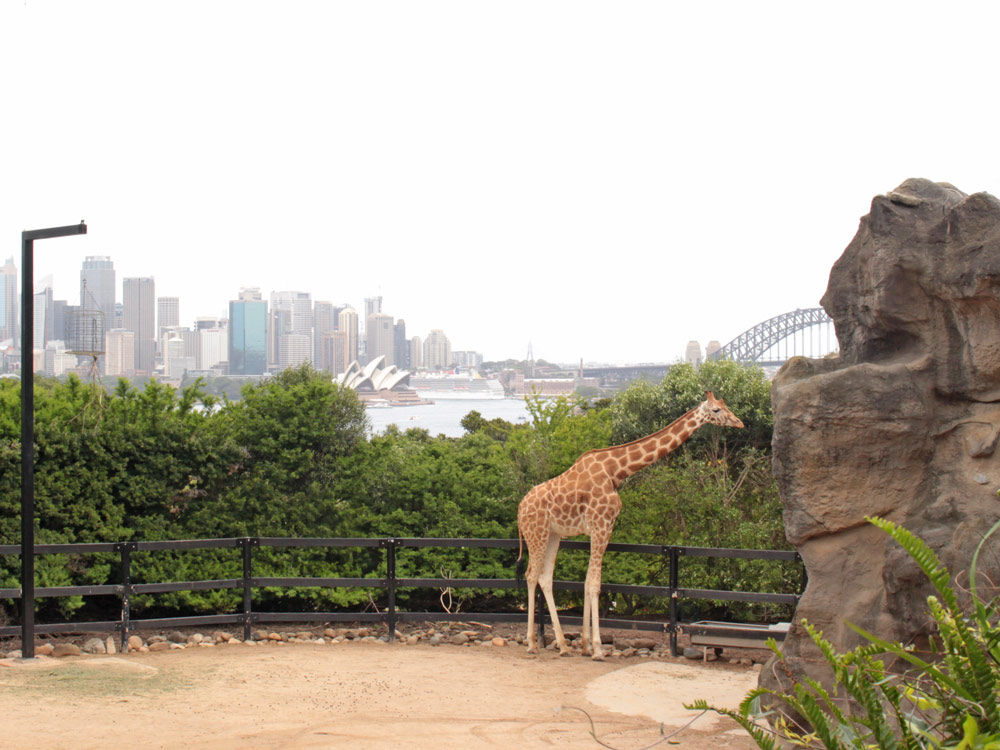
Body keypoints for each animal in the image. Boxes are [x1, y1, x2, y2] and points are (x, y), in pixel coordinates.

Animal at [516, 390, 744, 660]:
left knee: (545, 578)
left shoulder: (600, 527)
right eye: (717, 410)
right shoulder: (602, 524)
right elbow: (594, 583)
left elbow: (587, 581)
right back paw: (531, 643)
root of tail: (519, 510)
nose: (739, 422)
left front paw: (585, 645)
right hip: (537, 532)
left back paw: (562, 645)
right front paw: (598, 649)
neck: (617, 471)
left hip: (554, 535)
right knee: (531, 575)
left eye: (726, 405)